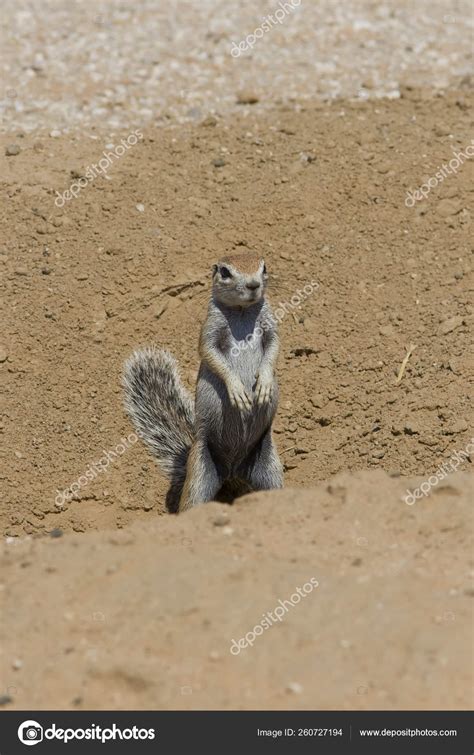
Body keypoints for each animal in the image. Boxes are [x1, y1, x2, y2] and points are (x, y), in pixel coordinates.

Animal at [124, 254, 284, 512]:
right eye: (225, 272)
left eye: (264, 267)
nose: (253, 285)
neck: (241, 311)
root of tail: (233, 472)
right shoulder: (209, 330)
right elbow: (210, 354)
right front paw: (238, 390)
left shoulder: (271, 326)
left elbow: (273, 348)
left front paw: (264, 384)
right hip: (200, 472)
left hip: (269, 466)